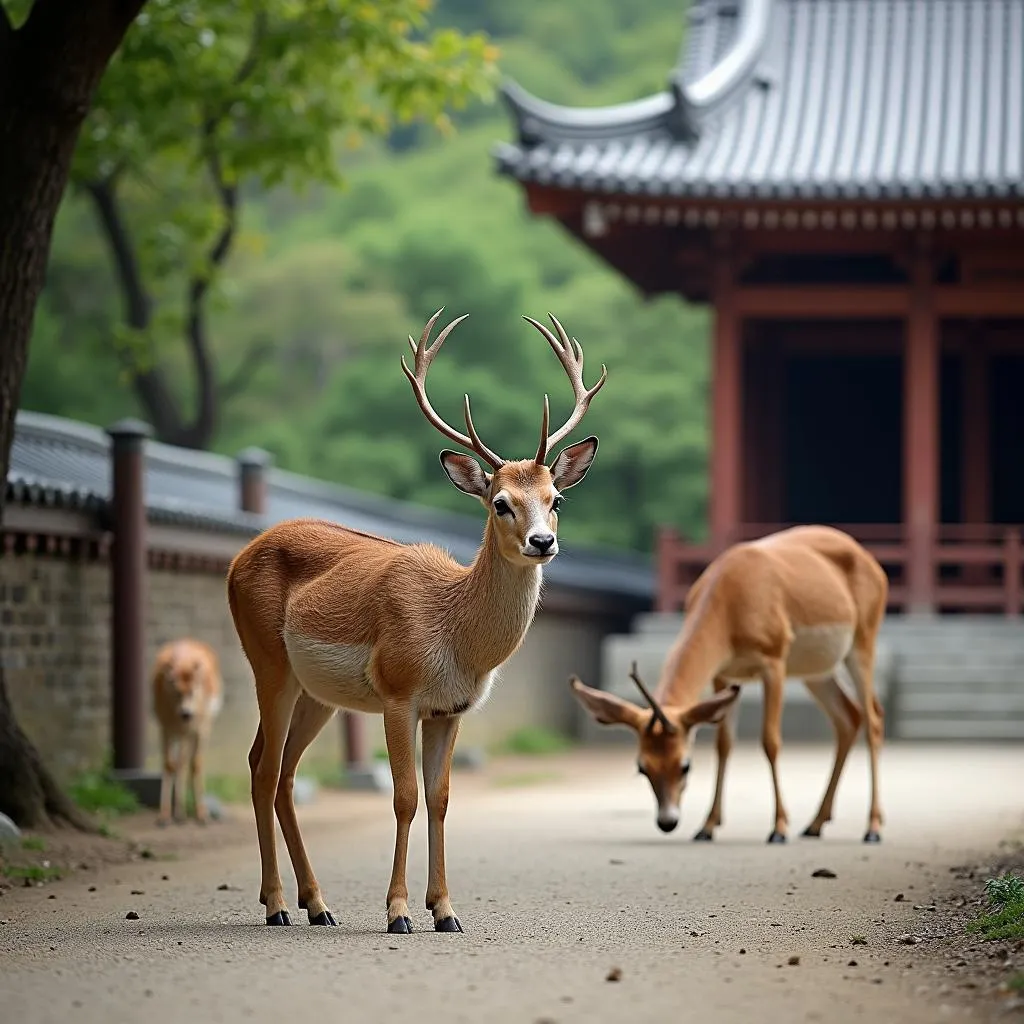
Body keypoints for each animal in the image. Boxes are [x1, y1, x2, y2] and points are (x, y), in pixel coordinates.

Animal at [151, 638, 224, 823]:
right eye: (176, 691)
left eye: (192, 691)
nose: (186, 713)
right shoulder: (166, 727)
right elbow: (169, 764)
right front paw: (165, 815)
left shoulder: (198, 729)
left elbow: (193, 764)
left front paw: (200, 813)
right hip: (180, 733)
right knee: (180, 763)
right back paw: (179, 813)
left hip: (200, 729)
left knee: (191, 763)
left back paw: (195, 813)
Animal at [226, 307, 606, 933]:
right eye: (500, 502)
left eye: (556, 498)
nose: (542, 542)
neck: (453, 633)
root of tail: (238, 558)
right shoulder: (399, 694)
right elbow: (403, 795)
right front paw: (399, 911)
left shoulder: (450, 710)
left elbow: (441, 798)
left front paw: (446, 910)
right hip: (268, 664)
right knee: (261, 768)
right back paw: (278, 904)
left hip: (317, 694)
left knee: (282, 775)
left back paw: (317, 904)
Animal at [569, 524, 888, 843]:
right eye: (642, 767)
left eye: (685, 765)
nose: (668, 821)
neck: (732, 595)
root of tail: (868, 559)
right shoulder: (724, 675)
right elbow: (723, 744)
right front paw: (707, 827)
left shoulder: (773, 664)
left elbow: (770, 741)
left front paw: (778, 828)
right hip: (816, 672)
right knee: (849, 717)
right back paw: (815, 824)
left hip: (861, 648)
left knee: (872, 720)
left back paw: (872, 828)